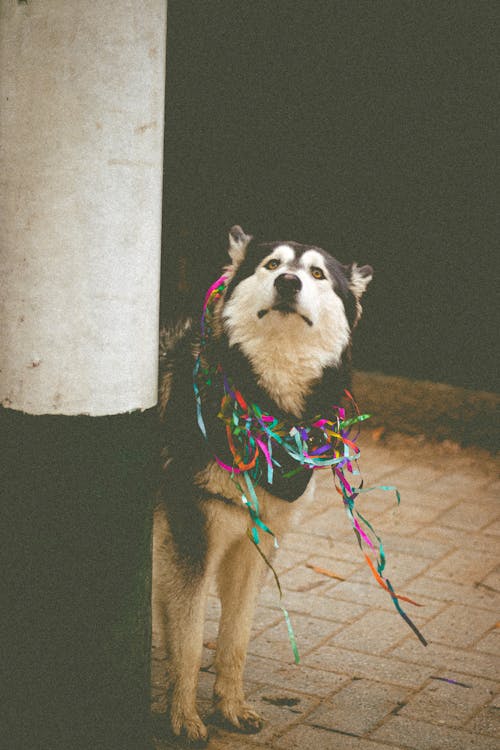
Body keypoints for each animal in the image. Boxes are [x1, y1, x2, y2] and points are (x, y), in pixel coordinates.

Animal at [154, 226, 374, 744]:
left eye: (317, 273)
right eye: (272, 265)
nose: (289, 283)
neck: (264, 407)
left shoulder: (253, 545)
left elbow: (234, 639)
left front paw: (230, 707)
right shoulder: (189, 537)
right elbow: (188, 640)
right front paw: (183, 716)